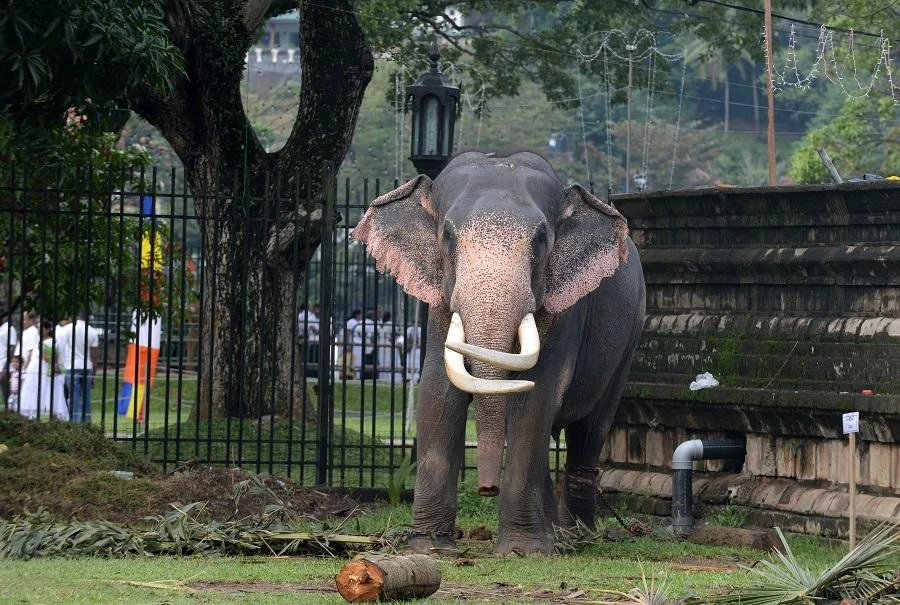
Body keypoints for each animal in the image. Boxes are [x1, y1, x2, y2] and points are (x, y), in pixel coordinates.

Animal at [352, 151, 645, 555]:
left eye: (541, 239)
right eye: (447, 236)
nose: (487, 489)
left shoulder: (564, 311)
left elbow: (534, 395)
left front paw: (524, 551)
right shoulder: (438, 306)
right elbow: (438, 392)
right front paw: (429, 548)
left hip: (630, 339)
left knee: (590, 430)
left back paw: (577, 537)